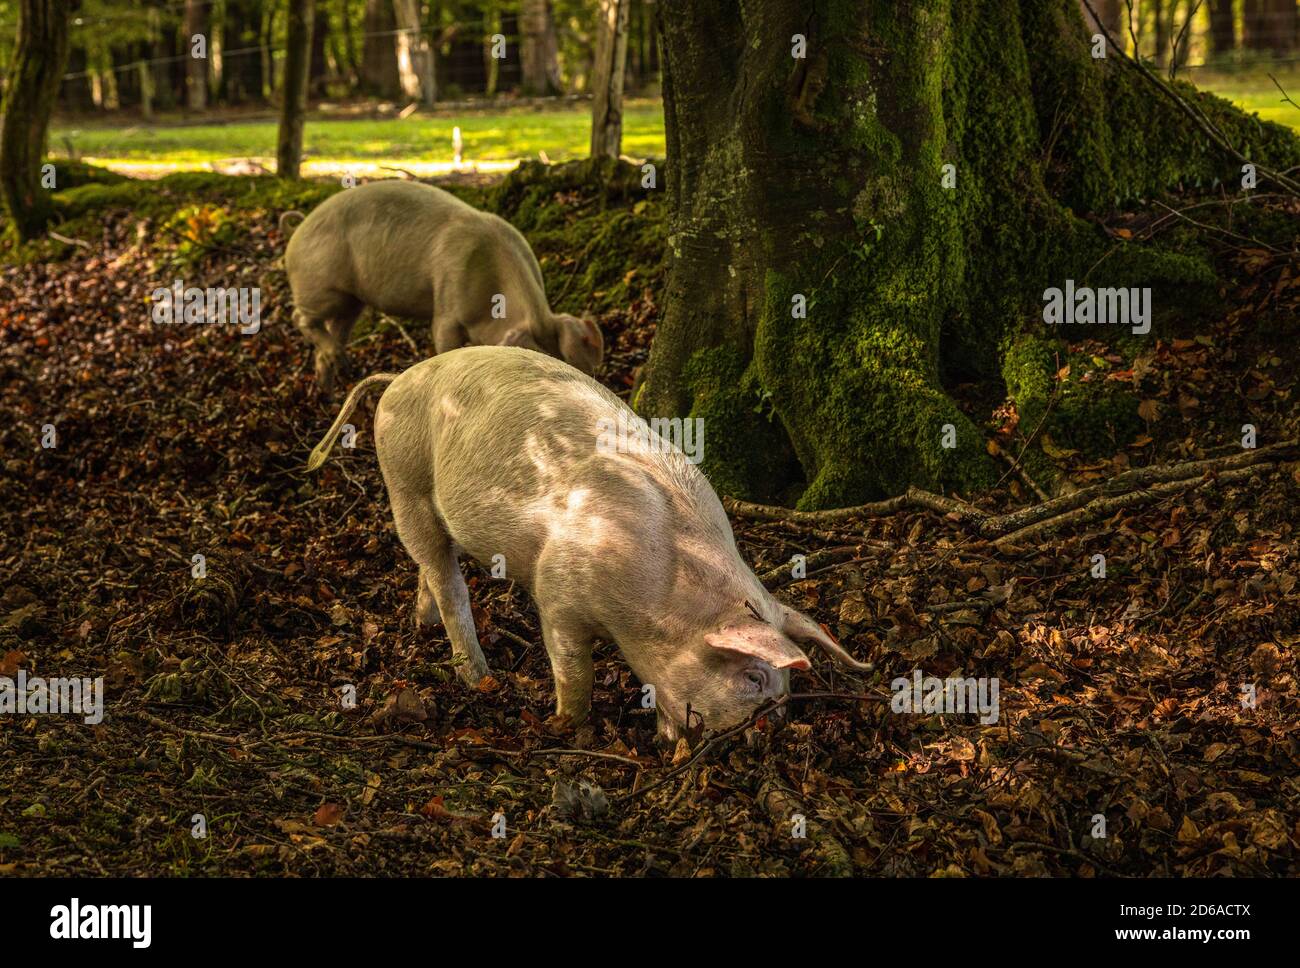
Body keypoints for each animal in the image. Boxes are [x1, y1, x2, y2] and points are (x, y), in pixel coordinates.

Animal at [280, 179, 603, 389]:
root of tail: (299, 228)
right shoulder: (447, 305)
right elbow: (444, 339)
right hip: (320, 286)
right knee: (300, 317)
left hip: (352, 301)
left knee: (335, 331)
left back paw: (332, 384)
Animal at [306, 348, 873, 738]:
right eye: (755, 678)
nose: (766, 729)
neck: (661, 596)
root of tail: (402, 376)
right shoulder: (559, 594)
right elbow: (573, 668)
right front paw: (565, 727)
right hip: (405, 482)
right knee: (448, 581)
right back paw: (479, 677)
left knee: (432, 567)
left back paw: (423, 625)